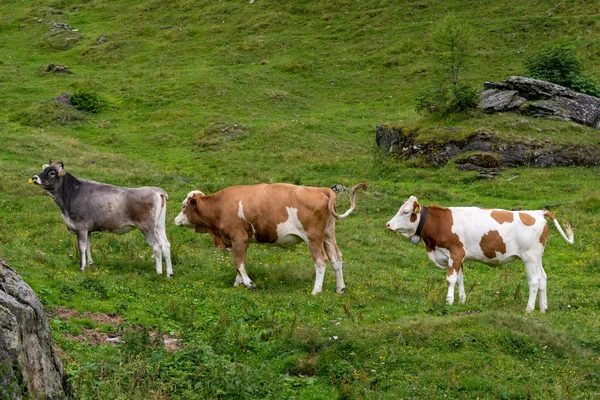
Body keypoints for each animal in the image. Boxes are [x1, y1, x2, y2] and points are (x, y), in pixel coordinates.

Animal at [29, 161, 173, 276]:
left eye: (52, 172)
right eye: (43, 169)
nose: (34, 177)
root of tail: (156, 190)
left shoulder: (81, 227)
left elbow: (81, 247)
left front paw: (82, 268)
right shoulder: (88, 229)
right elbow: (88, 246)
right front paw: (90, 264)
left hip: (147, 227)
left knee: (157, 246)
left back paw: (159, 272)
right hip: (159, 226)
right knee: (166, 245)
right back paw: (169, 273)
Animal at [176, 182, 368, 294]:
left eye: (184, 206)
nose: (175, 219)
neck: (219, 206)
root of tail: (321, 189)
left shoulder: (238, 238)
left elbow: (238, 263)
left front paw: (249, 284)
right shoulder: (242, 242)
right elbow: (240, 264)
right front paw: (238, 284)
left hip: (313, 238)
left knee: (321, 261)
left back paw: (316, 291)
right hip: (328, 235)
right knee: (337, 258)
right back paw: (340, 288)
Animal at [386, 196, 576, 312]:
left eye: (405, 212)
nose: (388, 224)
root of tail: (537, 212)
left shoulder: (455, 253)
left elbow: (451, 279)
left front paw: (449, 301)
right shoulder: (457, 257)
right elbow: (460, 279)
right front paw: (462, 301)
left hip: (529, 257)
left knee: (534, 280)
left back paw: (529, 309)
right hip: (537, 258)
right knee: (543, 278)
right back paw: (543, 308)